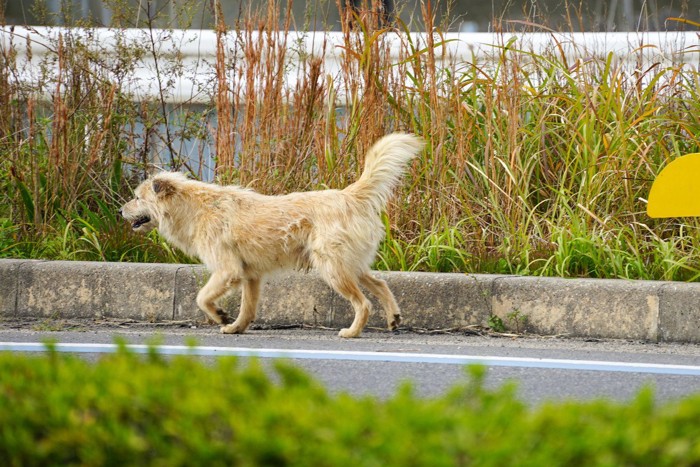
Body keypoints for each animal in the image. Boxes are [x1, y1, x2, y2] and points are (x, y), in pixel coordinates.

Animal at [119, 133, 424, 338]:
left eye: (137, 198)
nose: (120, 209)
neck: (195, 207)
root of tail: (349, 195)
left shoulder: (227, 270)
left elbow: (202, 297)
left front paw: (220, 315)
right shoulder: (250, 275)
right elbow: (248, 308)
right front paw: (236, 327)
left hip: (332, 267)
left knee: (363, 303)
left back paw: (352, 332)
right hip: (350, 264)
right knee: (380, 284)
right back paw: (393, 317)